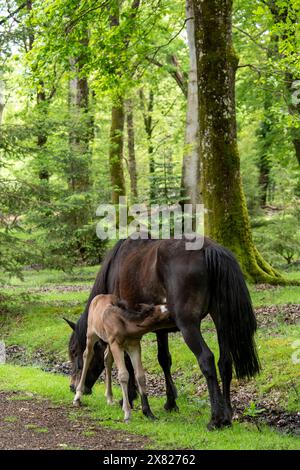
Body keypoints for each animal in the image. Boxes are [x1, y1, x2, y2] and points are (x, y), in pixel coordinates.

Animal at [72, 294, 173, 422]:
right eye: (168, 316)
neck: (125, 324)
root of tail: (99, 297)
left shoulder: (134, 346)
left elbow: (140, 376)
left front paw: (149, 413)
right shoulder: (116, 345)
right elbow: (124, 375)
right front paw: (127, 413)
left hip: (108, 342)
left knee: (107, 358)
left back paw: (109, 398)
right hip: (91, 335)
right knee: (87, 355)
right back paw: (77, 396)